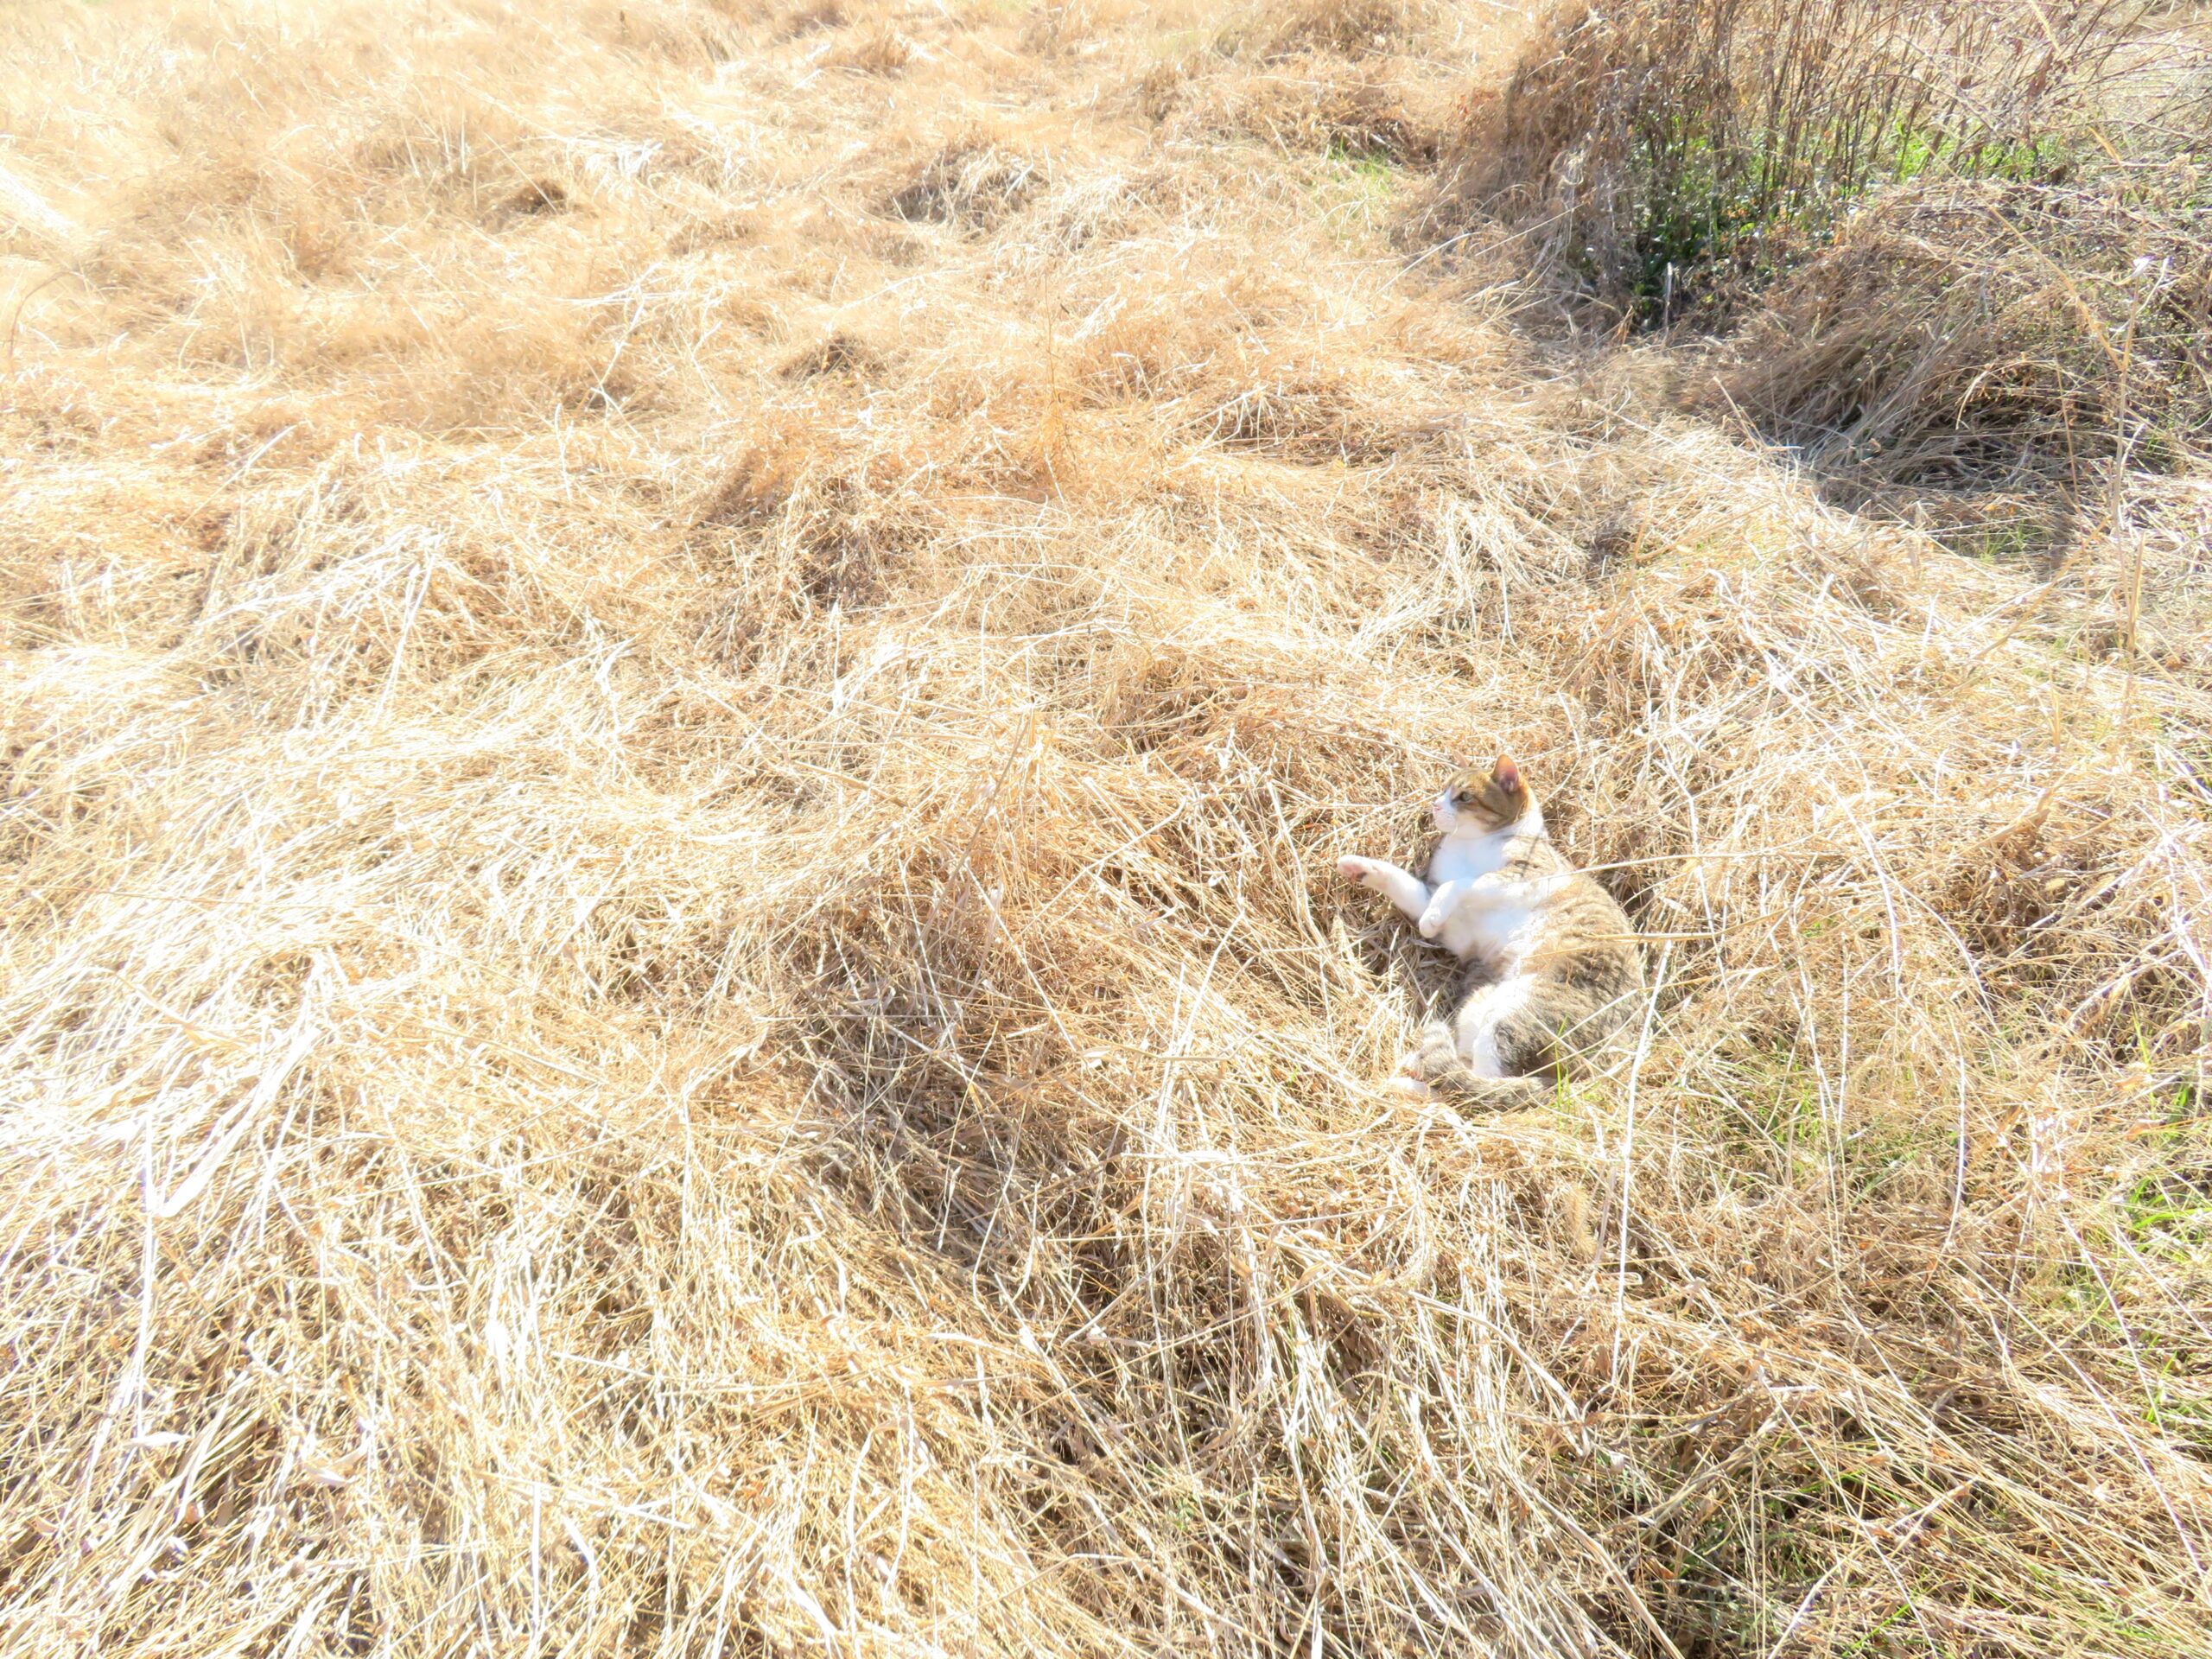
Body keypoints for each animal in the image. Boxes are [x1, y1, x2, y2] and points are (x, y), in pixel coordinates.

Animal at [1327, 760, 1645, 1110]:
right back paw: (1415, 1072)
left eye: (1464, 796)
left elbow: (1461, 884)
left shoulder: (1523, 876)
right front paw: (1357, 866)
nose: (1434, 805)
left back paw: (1411, 1081)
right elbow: (1403, 883)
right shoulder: (1454, 924)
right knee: (1462, 1083)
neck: (1470, 845)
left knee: (1481, 1092)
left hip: (1512, 1017)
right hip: (1479, 1005)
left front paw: (1430, 920)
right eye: (1443, 790)